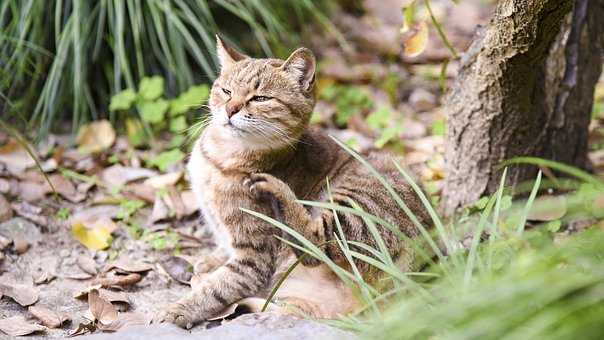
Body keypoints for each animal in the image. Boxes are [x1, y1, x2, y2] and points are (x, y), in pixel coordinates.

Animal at [163, 35, 432, 328]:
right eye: (226, 91)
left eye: (260, 98)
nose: (230, 109)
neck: (221, 157)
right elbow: (222, 251)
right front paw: (210, 261)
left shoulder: (254, 258)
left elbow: (216, 288)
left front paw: (179, 309)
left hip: (357, 204)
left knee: (316, 244)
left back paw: (279, 191)